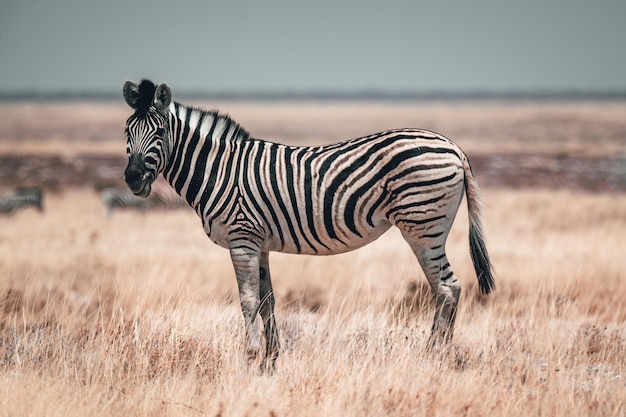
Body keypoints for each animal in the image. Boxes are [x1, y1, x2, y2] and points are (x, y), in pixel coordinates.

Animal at [120, 79, 492, 370]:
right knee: (446, 289)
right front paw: (270, 361)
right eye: (127, 132)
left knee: (448, 287)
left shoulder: (242, 239)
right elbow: (267, 300)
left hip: (423, 227)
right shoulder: (260, 244)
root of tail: (453, 146)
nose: (133, 178)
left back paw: (433, 356)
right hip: (427, 228)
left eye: (160, 131)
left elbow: (247, 300)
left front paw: (249, 358)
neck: (219, 169)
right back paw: (439, 354)